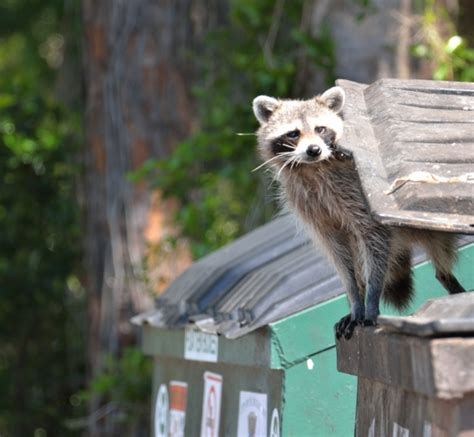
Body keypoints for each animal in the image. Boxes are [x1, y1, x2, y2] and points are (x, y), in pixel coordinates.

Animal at [254, 85, 464, 338]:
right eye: (293, 133)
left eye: (320, 129)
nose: (314, 150)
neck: (312, 168)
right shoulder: (311, 209)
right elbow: (339, 256)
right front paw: (355, 297)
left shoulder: (357, 193)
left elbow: (374, 237)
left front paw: (371, 298)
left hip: (430, 230)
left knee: (438, 254)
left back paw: (450, 283)